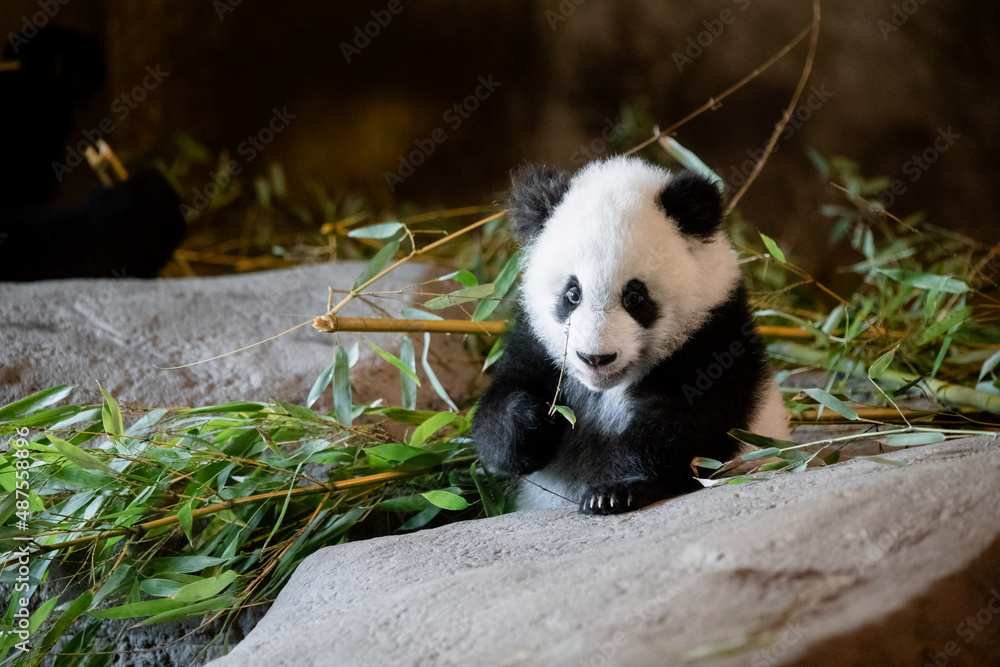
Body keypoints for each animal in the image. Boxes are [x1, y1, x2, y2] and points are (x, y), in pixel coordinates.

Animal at [472, 156, 789, 514]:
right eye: (572, 294)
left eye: (634, 297)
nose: (595, 358)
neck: (605, 389)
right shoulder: (538, 343)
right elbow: (497, 416)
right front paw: (538, 418)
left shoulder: (713, 339)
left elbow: (679, 429)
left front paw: (612, 492)